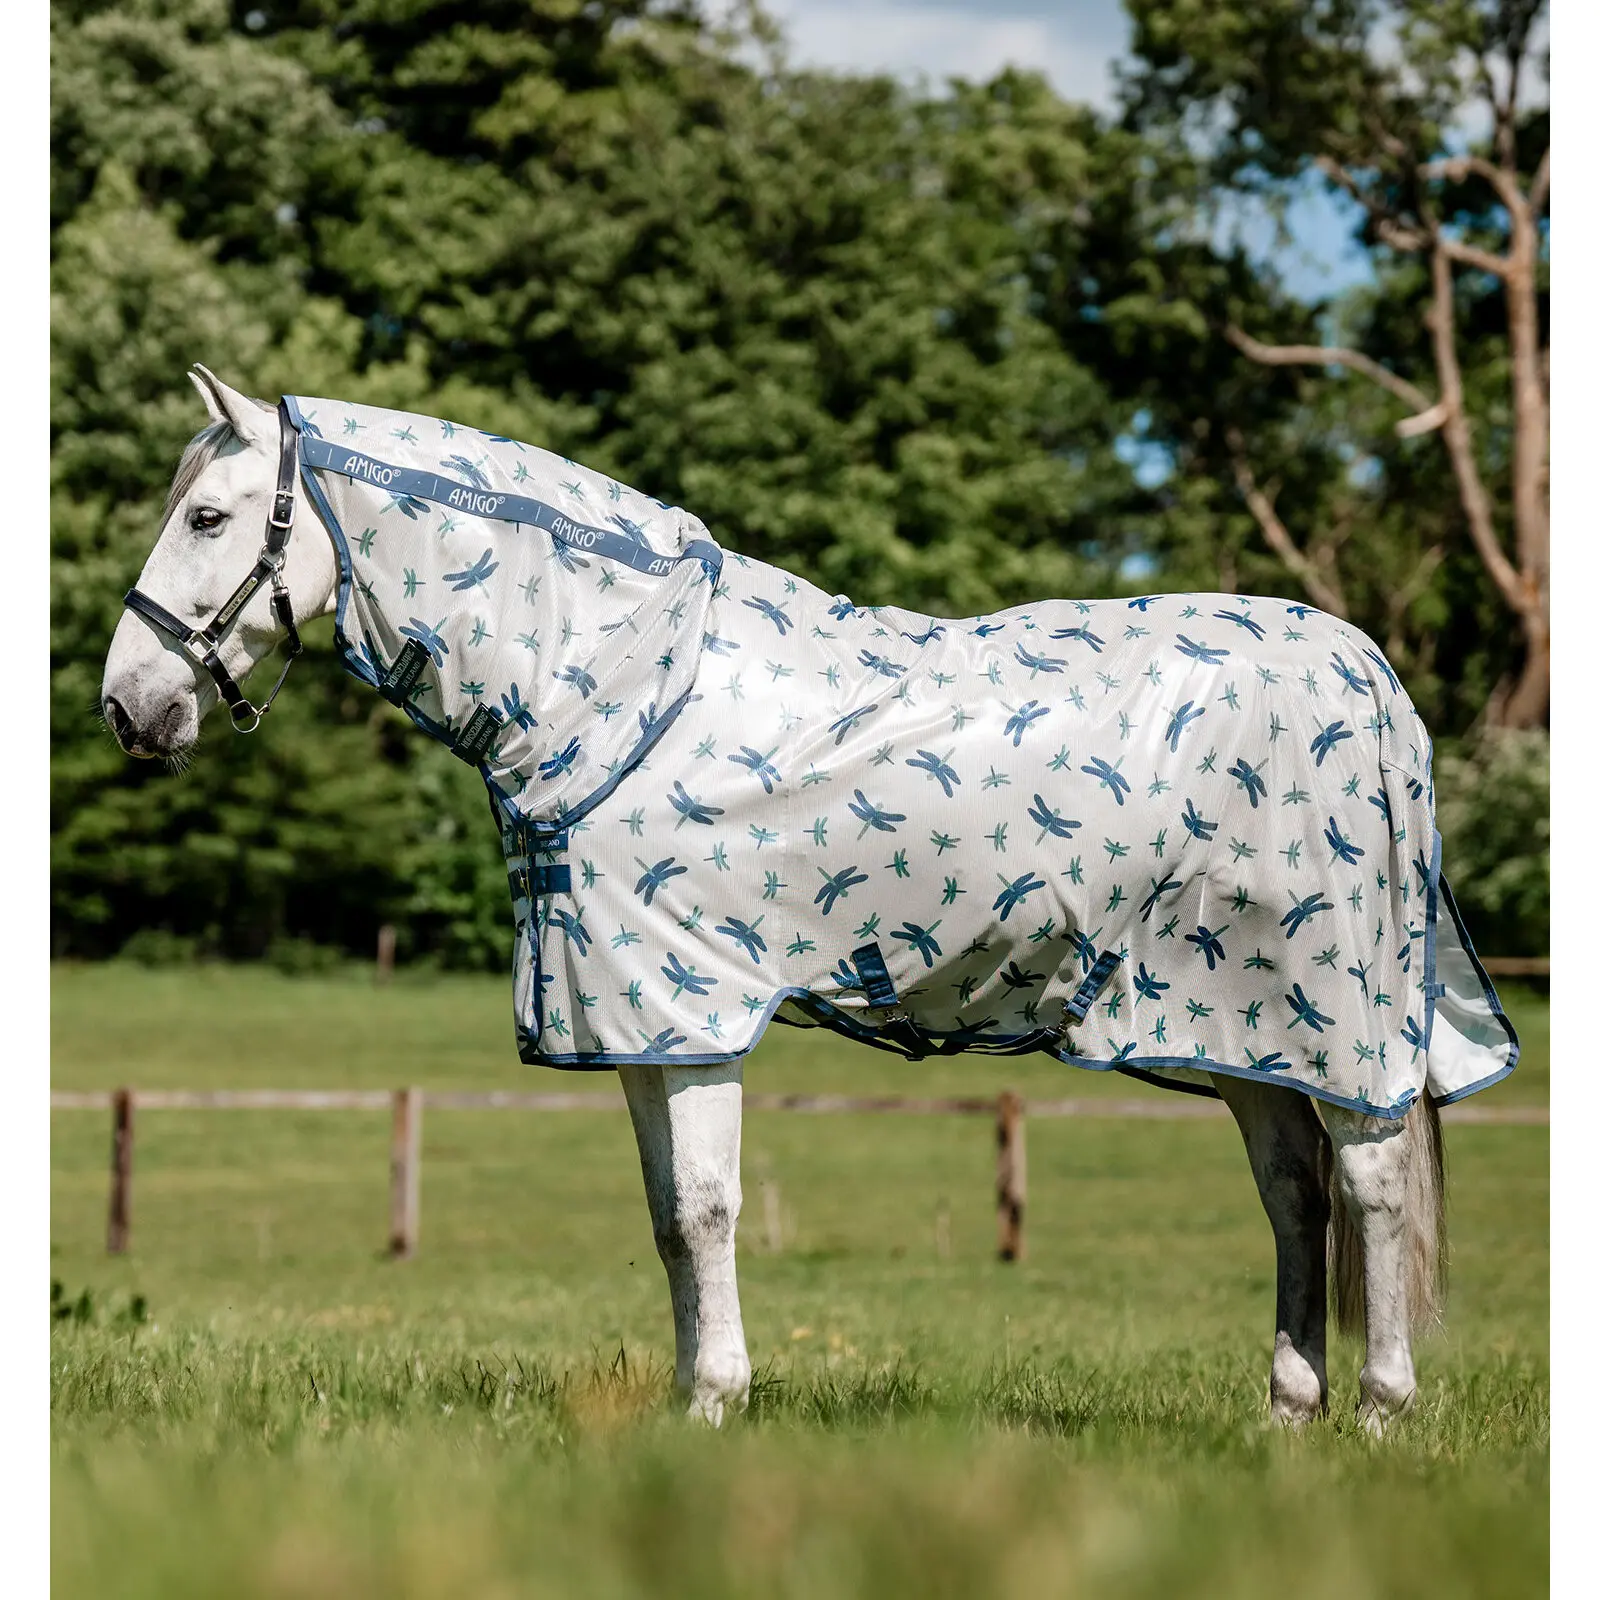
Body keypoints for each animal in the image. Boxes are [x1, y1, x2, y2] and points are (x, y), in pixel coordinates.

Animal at [100, 367, 1518, 1432]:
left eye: (211, 518)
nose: (129, 706)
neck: (627, 687)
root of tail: (1366, 671)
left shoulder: (690, 1009)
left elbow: (707, 1207)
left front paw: (717, 1400)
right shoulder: (639, 1027)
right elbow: (669, 1220)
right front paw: (691, 1403)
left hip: (1329, 1012)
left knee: (1371, 1184)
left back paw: (1380, 1410)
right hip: (1236, 1025)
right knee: (1293, 1194)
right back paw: (1287, 1410)